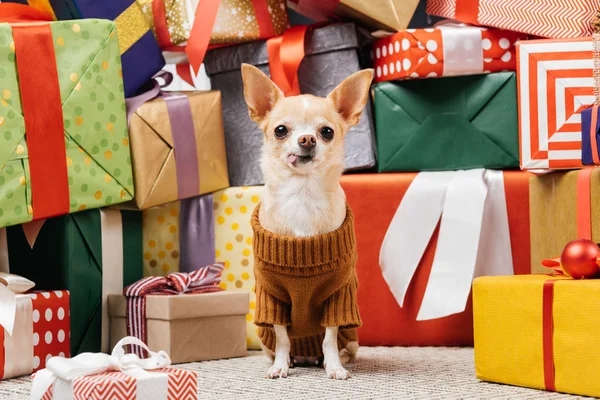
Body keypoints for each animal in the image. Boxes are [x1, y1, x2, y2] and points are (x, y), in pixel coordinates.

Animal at [240, 64, 372, 380]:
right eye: (280, 130)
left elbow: (328, 337)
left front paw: (334, 366)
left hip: (353, 336)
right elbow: (283, 337)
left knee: (340, 346)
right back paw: (290, 360)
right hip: (264, 336)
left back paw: (330, 360)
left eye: (326, 132)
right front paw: (280, 366)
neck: (302, 194)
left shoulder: (337, 296)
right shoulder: (273, 298)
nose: (307, 139)